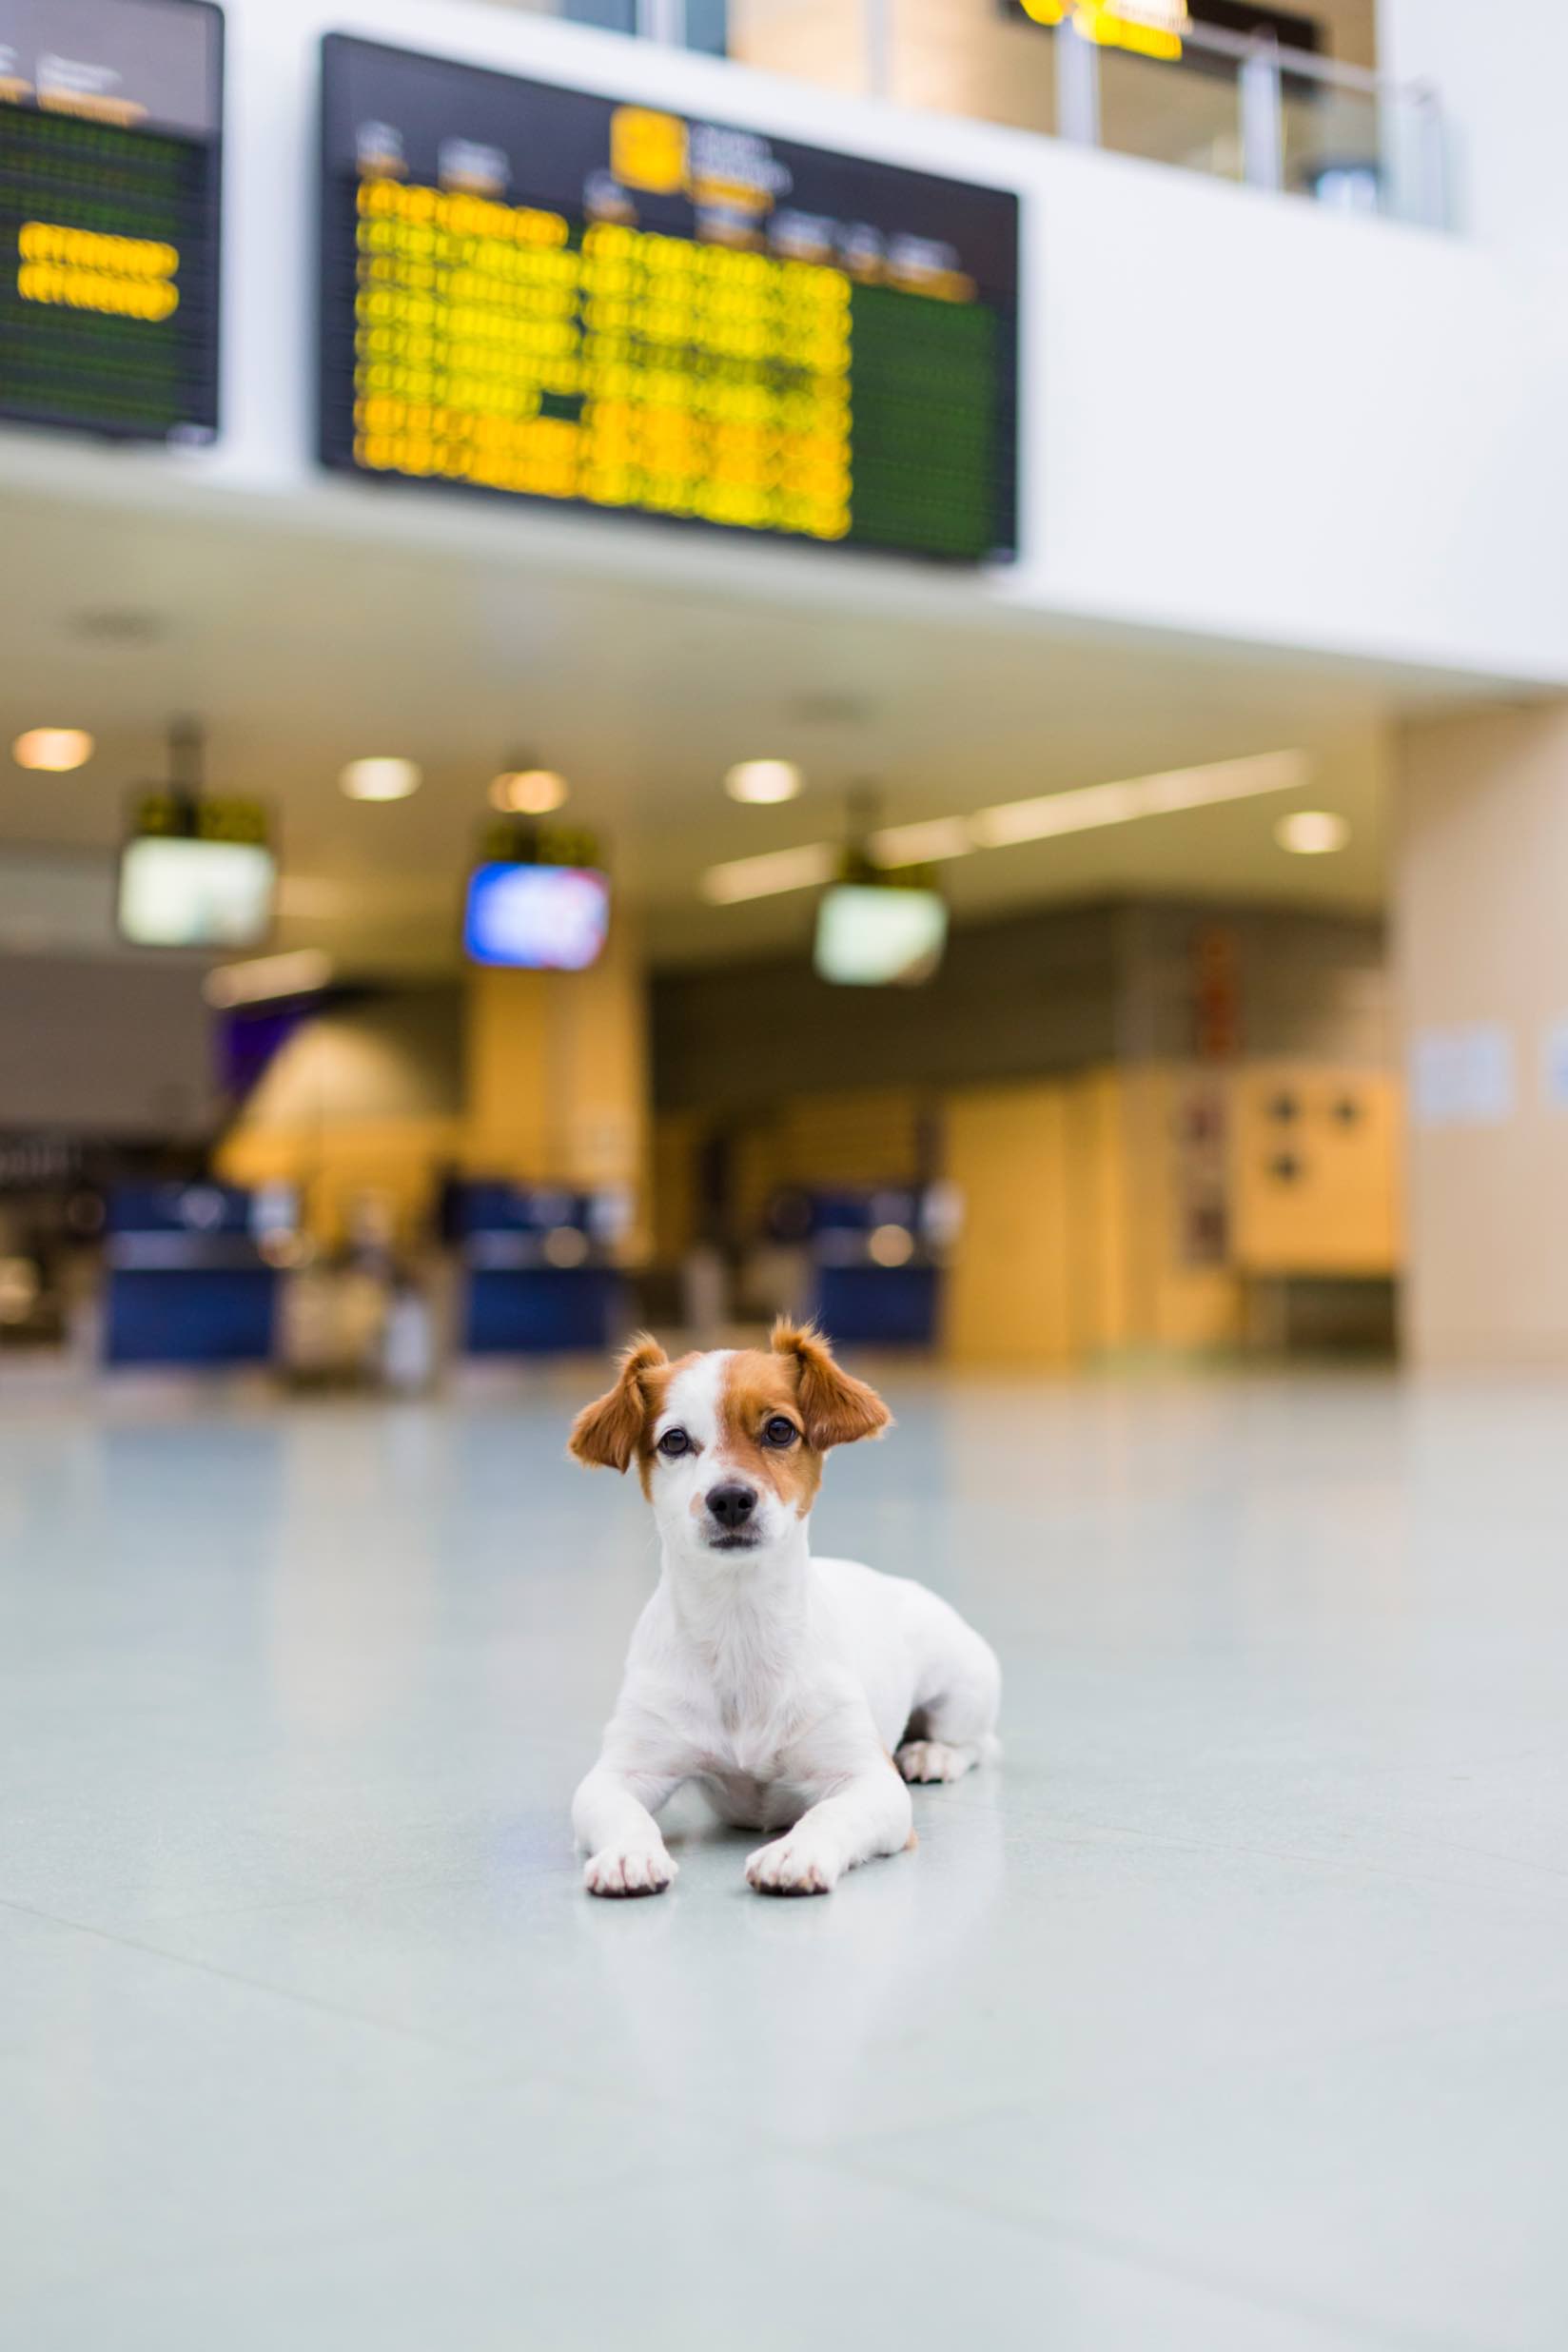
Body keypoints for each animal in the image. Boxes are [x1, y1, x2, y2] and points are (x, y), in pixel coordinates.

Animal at [573, 1326, 1006, 1891]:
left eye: (779, 1430)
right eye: (674, 1440)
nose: (730, 1499)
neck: (739, 1625)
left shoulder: (872, 1783)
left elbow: (831, 1813)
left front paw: (796, 1852)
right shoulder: (620, 1773)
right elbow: (623, 1811)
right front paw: (629, 1854)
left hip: (963, 1688)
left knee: (976, 1744)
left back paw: (931, 1753)